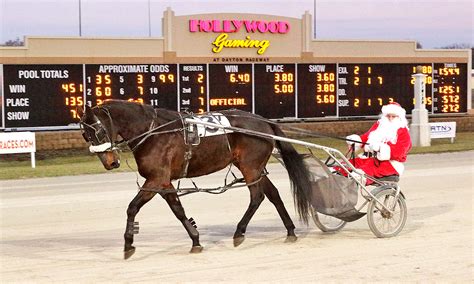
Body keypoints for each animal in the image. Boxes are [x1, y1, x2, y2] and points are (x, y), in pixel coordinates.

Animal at [79, 100, 312, 260]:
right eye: (85, 135)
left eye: (98, 130)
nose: (110, 162)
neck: (153, 133)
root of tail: (264, 121)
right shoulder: (164, 181)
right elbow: (178, 210)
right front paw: (195, 240)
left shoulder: (155, 179)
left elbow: (132, 207)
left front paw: (128, 245)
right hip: (254, 167)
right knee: (272, 194)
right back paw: (290, 231)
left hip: (250, 167)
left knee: (257, 196)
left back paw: (239, 232)